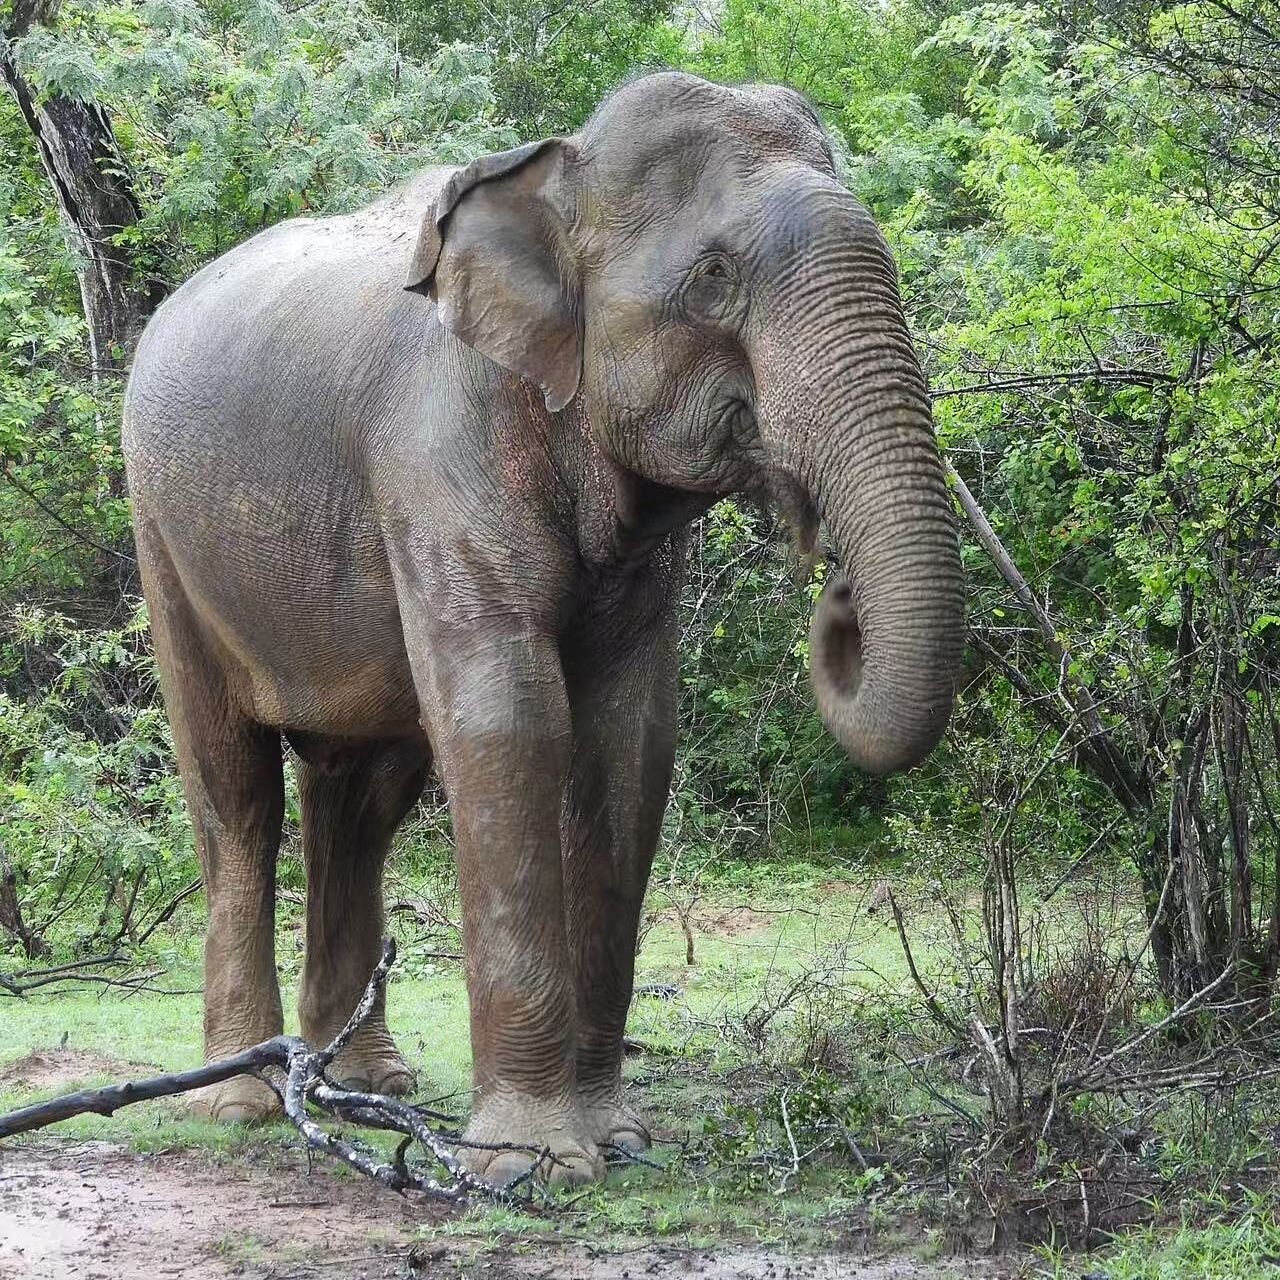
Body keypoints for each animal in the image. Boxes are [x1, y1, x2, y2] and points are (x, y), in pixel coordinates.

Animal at [121, 71, 964, 1187]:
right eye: (713, 276)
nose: (833, 590)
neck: (556, 172)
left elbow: (629, 741)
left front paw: (616, 1140)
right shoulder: (437, 454)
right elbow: (509, 721)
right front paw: (527, 1164)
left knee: (361, 801)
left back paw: (372, 1079)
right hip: (164, 536)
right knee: (236, 793)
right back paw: (243, 1100)